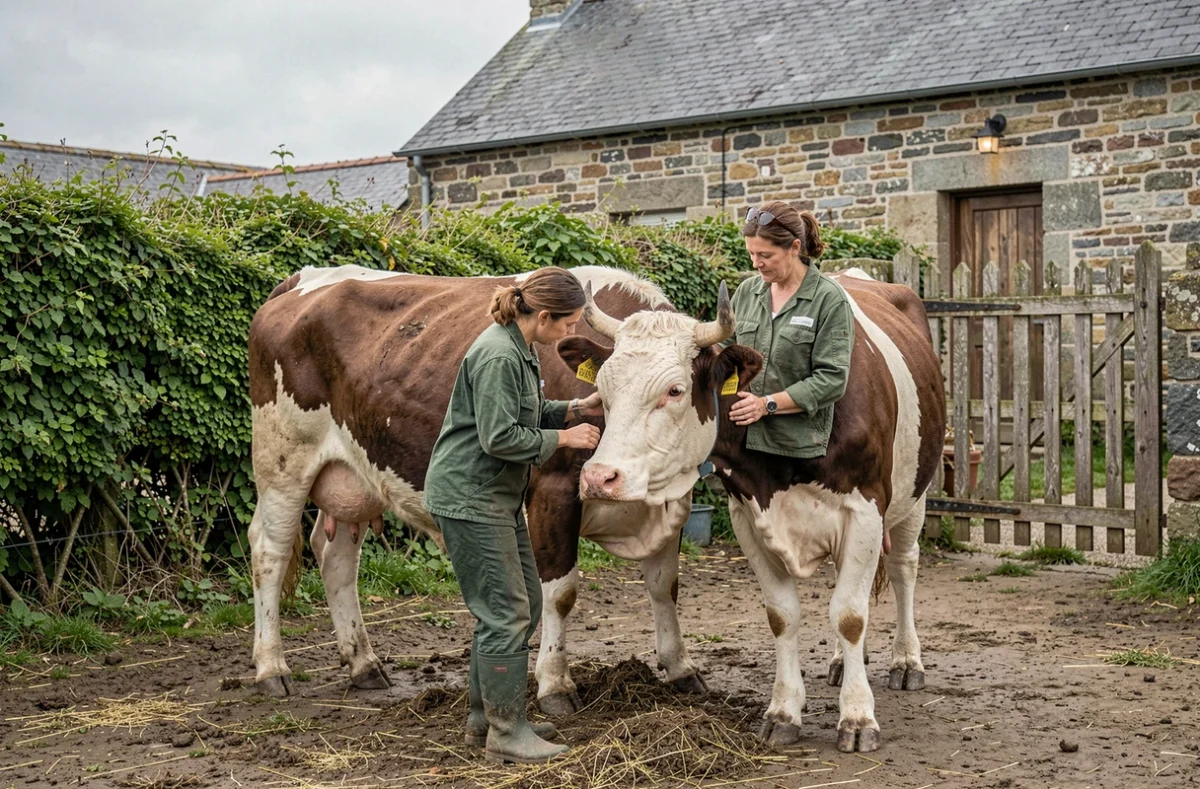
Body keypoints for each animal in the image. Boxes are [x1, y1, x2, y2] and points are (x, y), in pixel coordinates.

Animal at [245, 265, 717, 709]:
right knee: (269, 551)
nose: (603, 476)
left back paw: (363, 663)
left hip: (352, 473)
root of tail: (301, 280)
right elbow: (561, 594)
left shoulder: (669, 501)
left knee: (336, 558)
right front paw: (555, 685)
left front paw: (681, 668)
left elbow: (664, 585)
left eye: (676, 390)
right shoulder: (552, 494)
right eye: (602, 388)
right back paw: (271, 668)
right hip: (282, 461)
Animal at [560, 270, 946, 753]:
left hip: (916, 494)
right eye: (604, 389)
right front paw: (783, 712)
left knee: (903, 569)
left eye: (675, 390)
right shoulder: (748, 514)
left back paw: (906, 661)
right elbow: (783, 615)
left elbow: (850, 616)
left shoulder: (865, 512)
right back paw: (841, 663)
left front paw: (857, 718)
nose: (599, 477)